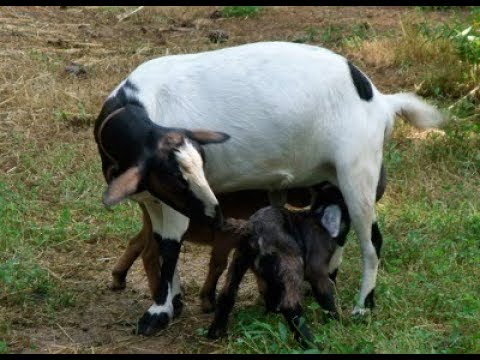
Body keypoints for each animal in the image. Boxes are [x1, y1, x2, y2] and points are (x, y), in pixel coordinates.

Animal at [208, 183, 350, 346]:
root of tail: (252, 228)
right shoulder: (317, 270)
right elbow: (327, 297)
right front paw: (338, 322)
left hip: (239, 261)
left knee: (227, 293)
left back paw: (215, 332)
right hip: (292, 261)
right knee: (290, 305)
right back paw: (309, 343)